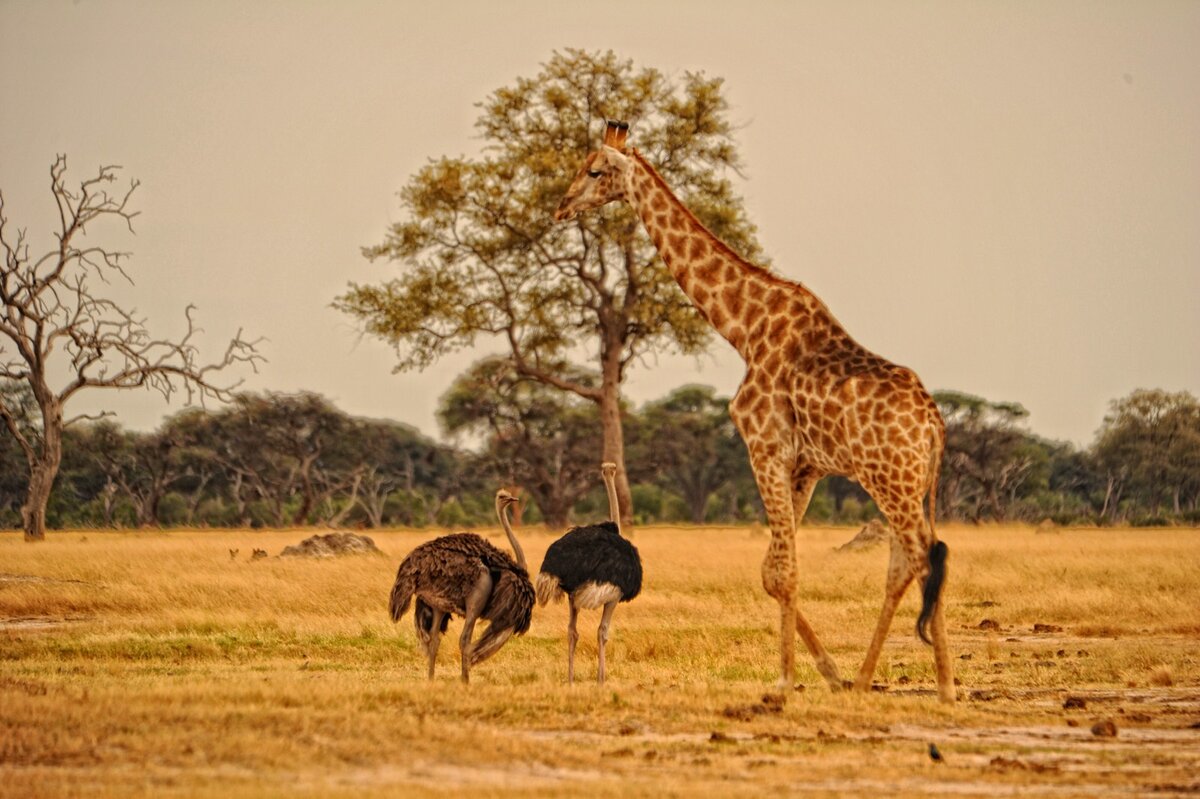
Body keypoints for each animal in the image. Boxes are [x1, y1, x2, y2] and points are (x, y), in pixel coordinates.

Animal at [552, 121, 955, 700]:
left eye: (595, 170)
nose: (560, 207)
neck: (743, 327)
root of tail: (935, 427)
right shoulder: (804, 465)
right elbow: (773, 568)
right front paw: (826, 672)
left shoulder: (764, 446)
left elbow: (780, 572)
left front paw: (785, 680)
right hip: (901, 485)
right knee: (905, 562)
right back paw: (863, 680)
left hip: (892, 481)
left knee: (925, 555)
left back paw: (944, 685)